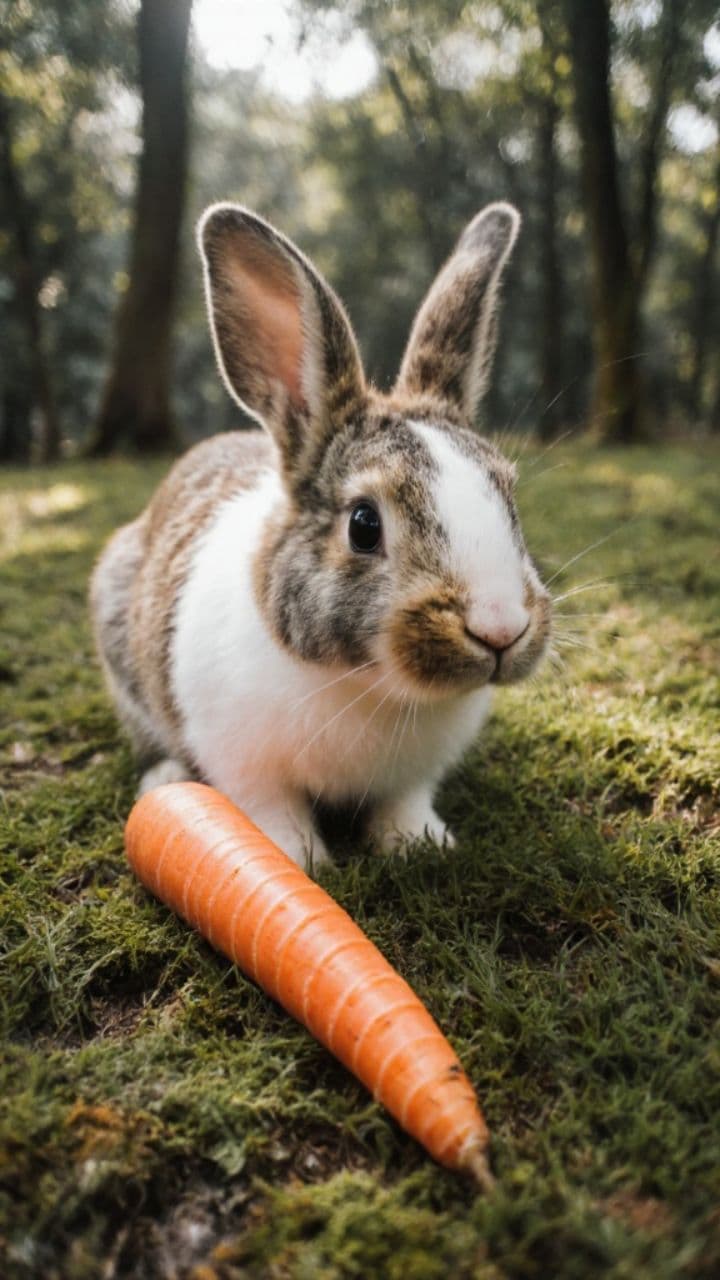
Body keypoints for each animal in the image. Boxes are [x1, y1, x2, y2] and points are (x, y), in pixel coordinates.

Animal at [91, 200, 552, 869]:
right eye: (363, 525)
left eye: (508, 498)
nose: (501, 628)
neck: (372, 686)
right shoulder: (244, 762)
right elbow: (271, 812)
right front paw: (298, 861)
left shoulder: (413, 776)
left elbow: (403, 800)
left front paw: (419, 843)